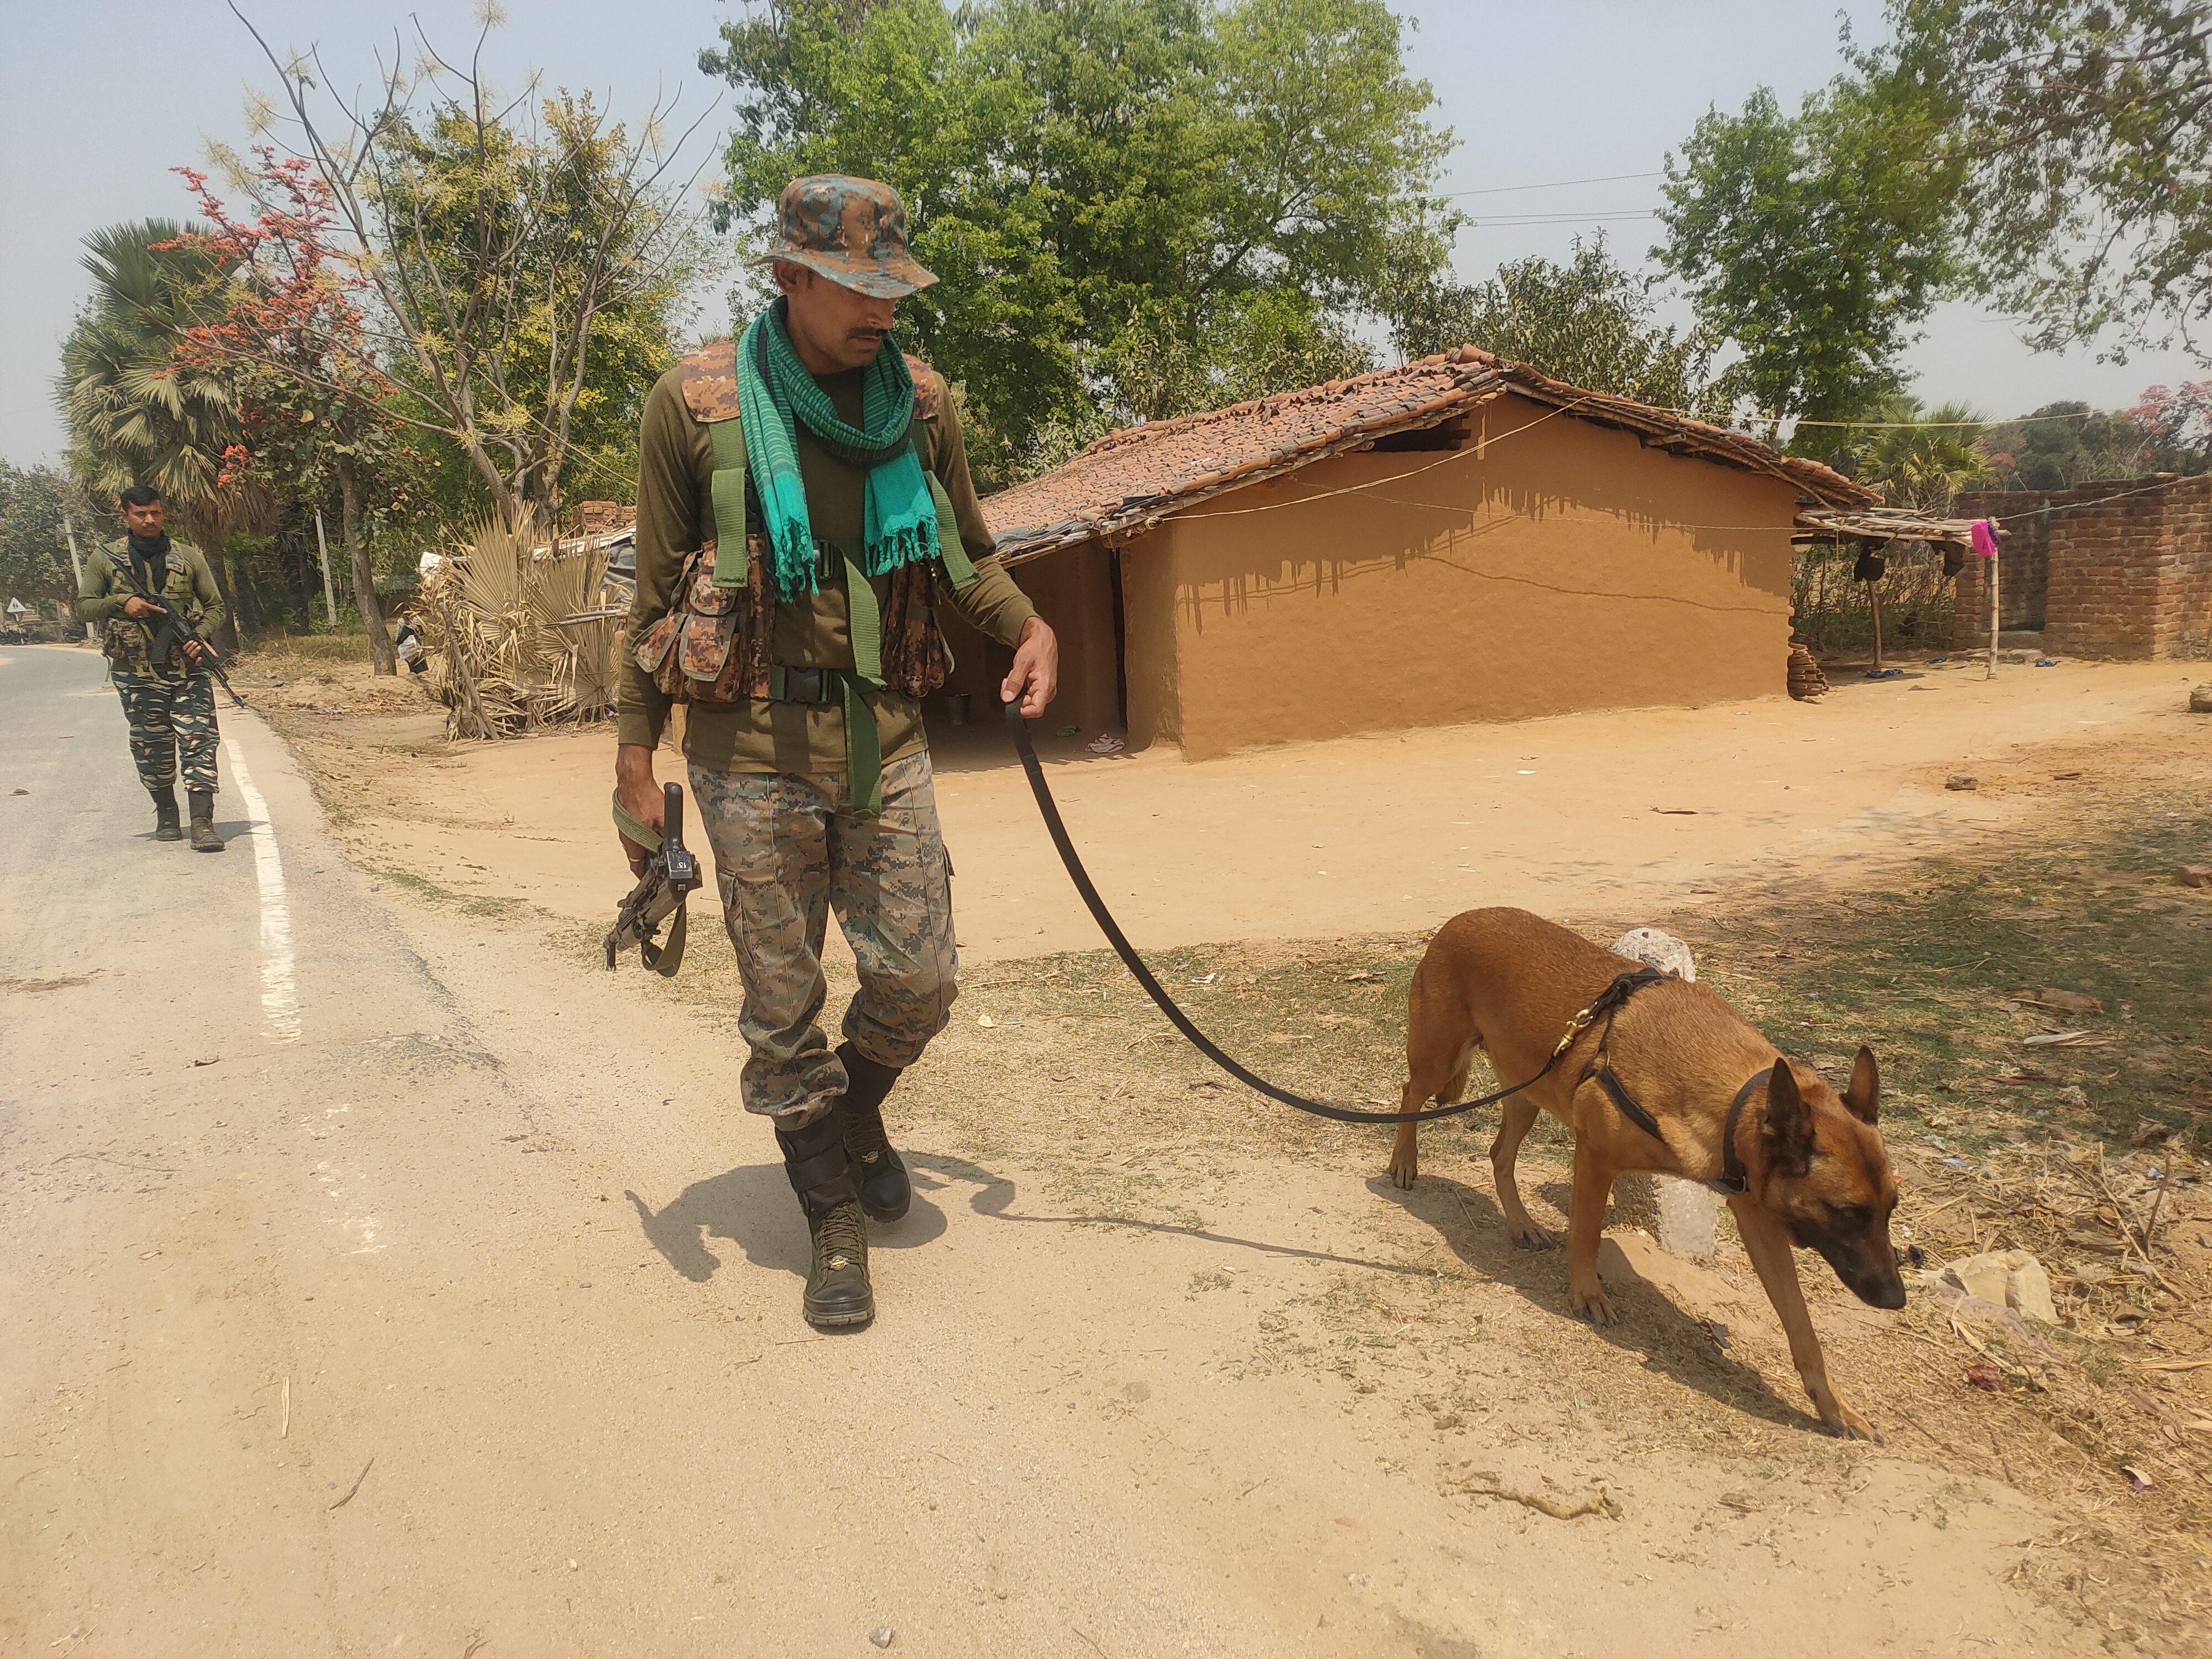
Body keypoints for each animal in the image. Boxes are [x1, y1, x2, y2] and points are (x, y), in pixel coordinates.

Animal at [76, 478, 227, 845]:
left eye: (153, 513)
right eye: (141, 513)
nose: (149, 521)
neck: (146, 549)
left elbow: (199, 739)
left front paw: (204, 829)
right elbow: (88, 601)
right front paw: (133, 604)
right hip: (141, 704)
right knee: (150, 742)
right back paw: (168, 821)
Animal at [606, 176, 1053, 1336]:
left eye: (885, 309)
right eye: (854, 290)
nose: (882, 327)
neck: (819, 376)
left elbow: (967, 543)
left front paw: (1032, 650)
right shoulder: (664, 435)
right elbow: (655, 577)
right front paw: (836, 1243)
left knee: (891, 1004)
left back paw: (870, 1151)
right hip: (765, 848)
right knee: (788, 1033)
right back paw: (839, 1198)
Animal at [1389, 911, 1911, 1442]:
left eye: (1890, 1208)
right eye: (1847, 1213)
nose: (1896, 1299)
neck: (1735, 1098)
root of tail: (1461, 919)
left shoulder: (1760, 1222)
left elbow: (1801, 1325)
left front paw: (1833, 1405)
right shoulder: (1596, 1157)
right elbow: (1585, 1238)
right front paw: (1587, 1296)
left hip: (1527, 1089)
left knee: (1499, 1156)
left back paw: (1521, 1224)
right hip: (1440, 1059)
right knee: (1411, 1093)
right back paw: (1404, 1162)